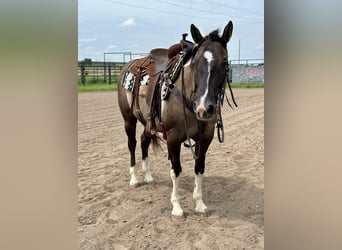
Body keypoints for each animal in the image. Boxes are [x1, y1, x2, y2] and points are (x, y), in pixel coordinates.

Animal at [118, 21, 235, 217]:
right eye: (195, 63)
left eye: (225, 62)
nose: (204, 108)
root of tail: (130, 64)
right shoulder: (173, 137)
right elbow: (176, 170)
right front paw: (177, 207)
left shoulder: (206, 137)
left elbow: (199, 168)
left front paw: (199, 204)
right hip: (129, 119)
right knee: (132, 143)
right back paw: (134, 179)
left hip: (148, 122)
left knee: (143, 141)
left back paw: (148, 176)